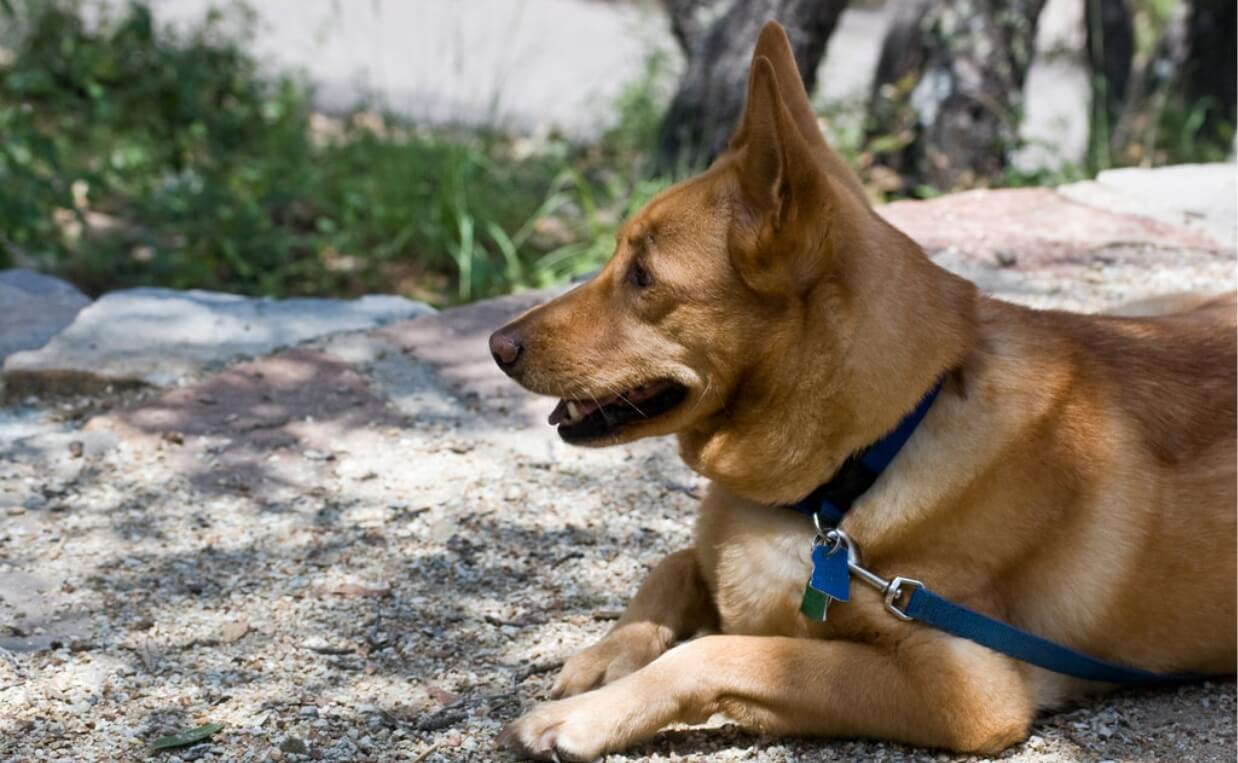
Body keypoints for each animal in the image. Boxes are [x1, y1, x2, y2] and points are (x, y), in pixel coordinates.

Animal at [487, 20, 1233, 758]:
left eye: (642, 277)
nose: (497, 346)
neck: (862, 462)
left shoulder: (967, 688)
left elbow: (727, 651)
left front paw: (586, 714)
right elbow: (669, 567)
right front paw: (606, 654)